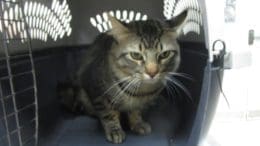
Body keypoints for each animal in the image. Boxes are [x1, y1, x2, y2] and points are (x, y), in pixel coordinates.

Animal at [59, 10, 187, 143]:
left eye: (165, 54)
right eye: (136, 55)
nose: (152, 72)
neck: (141, 90)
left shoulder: (139, 104)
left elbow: (135, 111)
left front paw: (138, 123)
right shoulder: (96, 89)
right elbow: (108, 113)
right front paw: (114, 130)